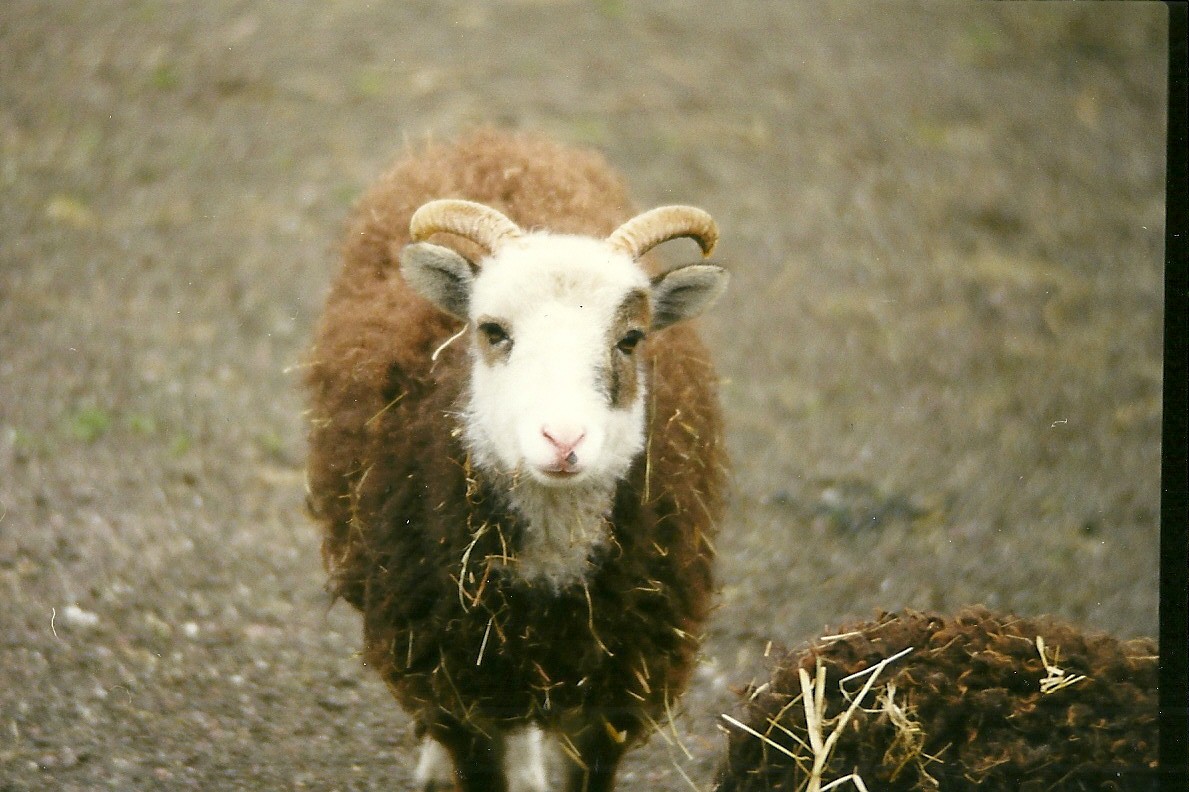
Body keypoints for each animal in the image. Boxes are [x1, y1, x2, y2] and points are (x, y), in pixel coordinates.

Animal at [304, 129, 729, 792]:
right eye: (493, 330)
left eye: (631, 338)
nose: (563, 439)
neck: (553, 563)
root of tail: (495, 136)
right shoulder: (457, 681)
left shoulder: (614, 693)